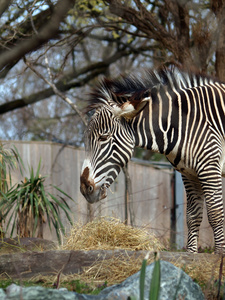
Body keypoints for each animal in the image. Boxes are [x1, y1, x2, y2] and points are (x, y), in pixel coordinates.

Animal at [80, 67, 225, 252]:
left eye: (103, 137)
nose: (84, 188)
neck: (183, 123)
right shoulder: (189, 173)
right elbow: (193, 217)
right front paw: (192, 255)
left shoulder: (209, 167)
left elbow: (215, 214)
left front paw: (219, 256)